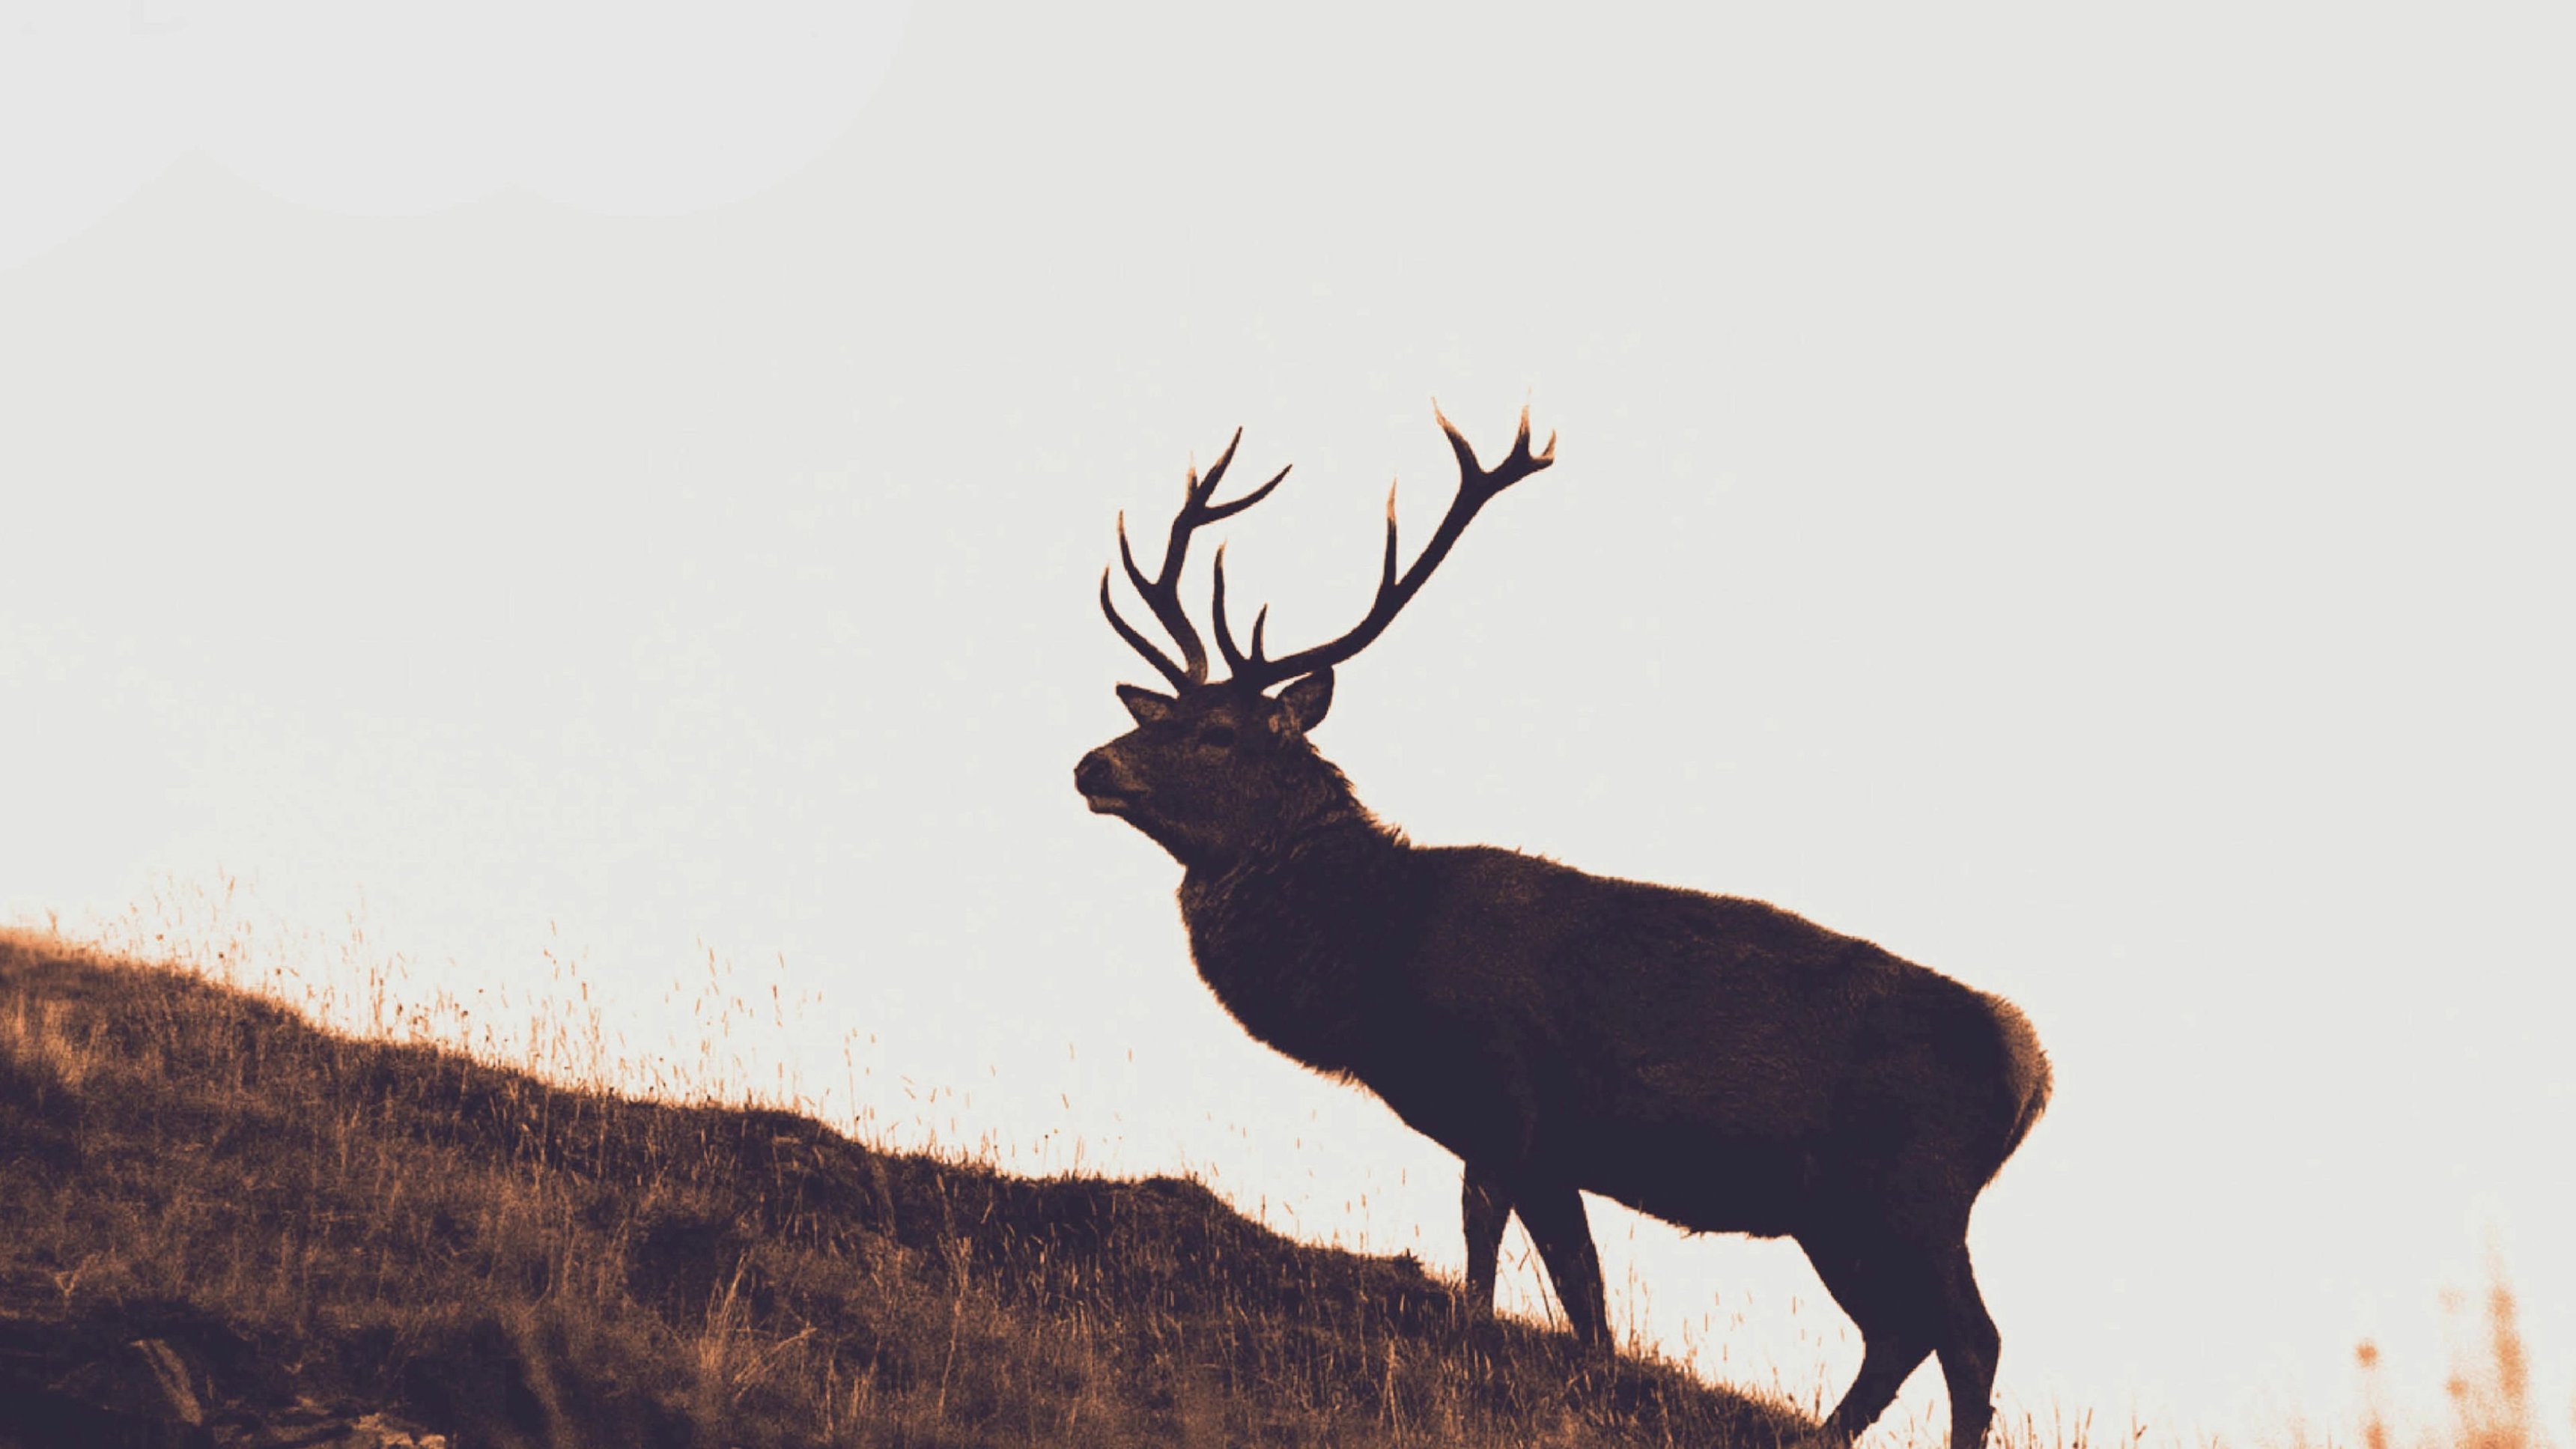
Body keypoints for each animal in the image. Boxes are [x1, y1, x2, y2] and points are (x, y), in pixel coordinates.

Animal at [1073, 406, 2051, 1449]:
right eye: (1158, 713)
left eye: (1218, 734)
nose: (1092, 764)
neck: (1379, 963)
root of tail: (2028, 1067)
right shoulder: (1553, 1152)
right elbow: (1587, 1302)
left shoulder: (1504, 1093)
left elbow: (1481, 1250)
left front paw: (1466, 1349)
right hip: (1837, 1211)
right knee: (1900, 1335)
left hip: (1914, 1192)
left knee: (1970, 1338)